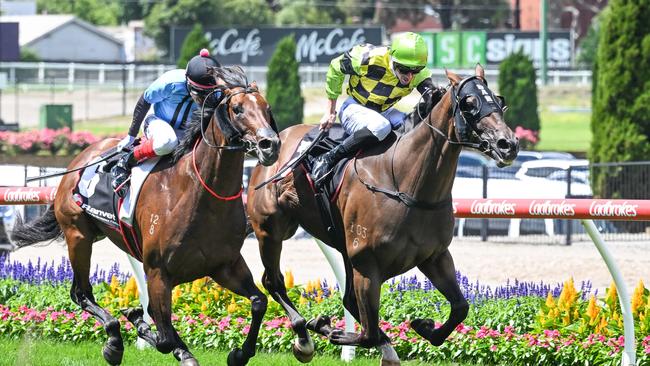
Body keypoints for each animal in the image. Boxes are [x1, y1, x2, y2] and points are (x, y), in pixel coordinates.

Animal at [10, 66, 278, 366]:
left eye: (267, 109)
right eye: (237, 108)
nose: (270, 145)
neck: (202, 194)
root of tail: (80, 159)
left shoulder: (224, 264)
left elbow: (259, 302)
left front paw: (240, 353)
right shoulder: (158, 271)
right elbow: (162, 337)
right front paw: (142, 327)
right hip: (78, 235)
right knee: (81, 293)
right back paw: (114, 340)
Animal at [246, 64, 520, 364]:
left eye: (499, 101)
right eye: (470, 103)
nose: (508, 144)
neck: (405, 183)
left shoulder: (434, 256)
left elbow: (460, 307)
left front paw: (423, 326)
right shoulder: (367, 265)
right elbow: (367, 333)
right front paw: (327, 327)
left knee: (349, 303)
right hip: (271, 229)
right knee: (273, 281)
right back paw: (304, 338)